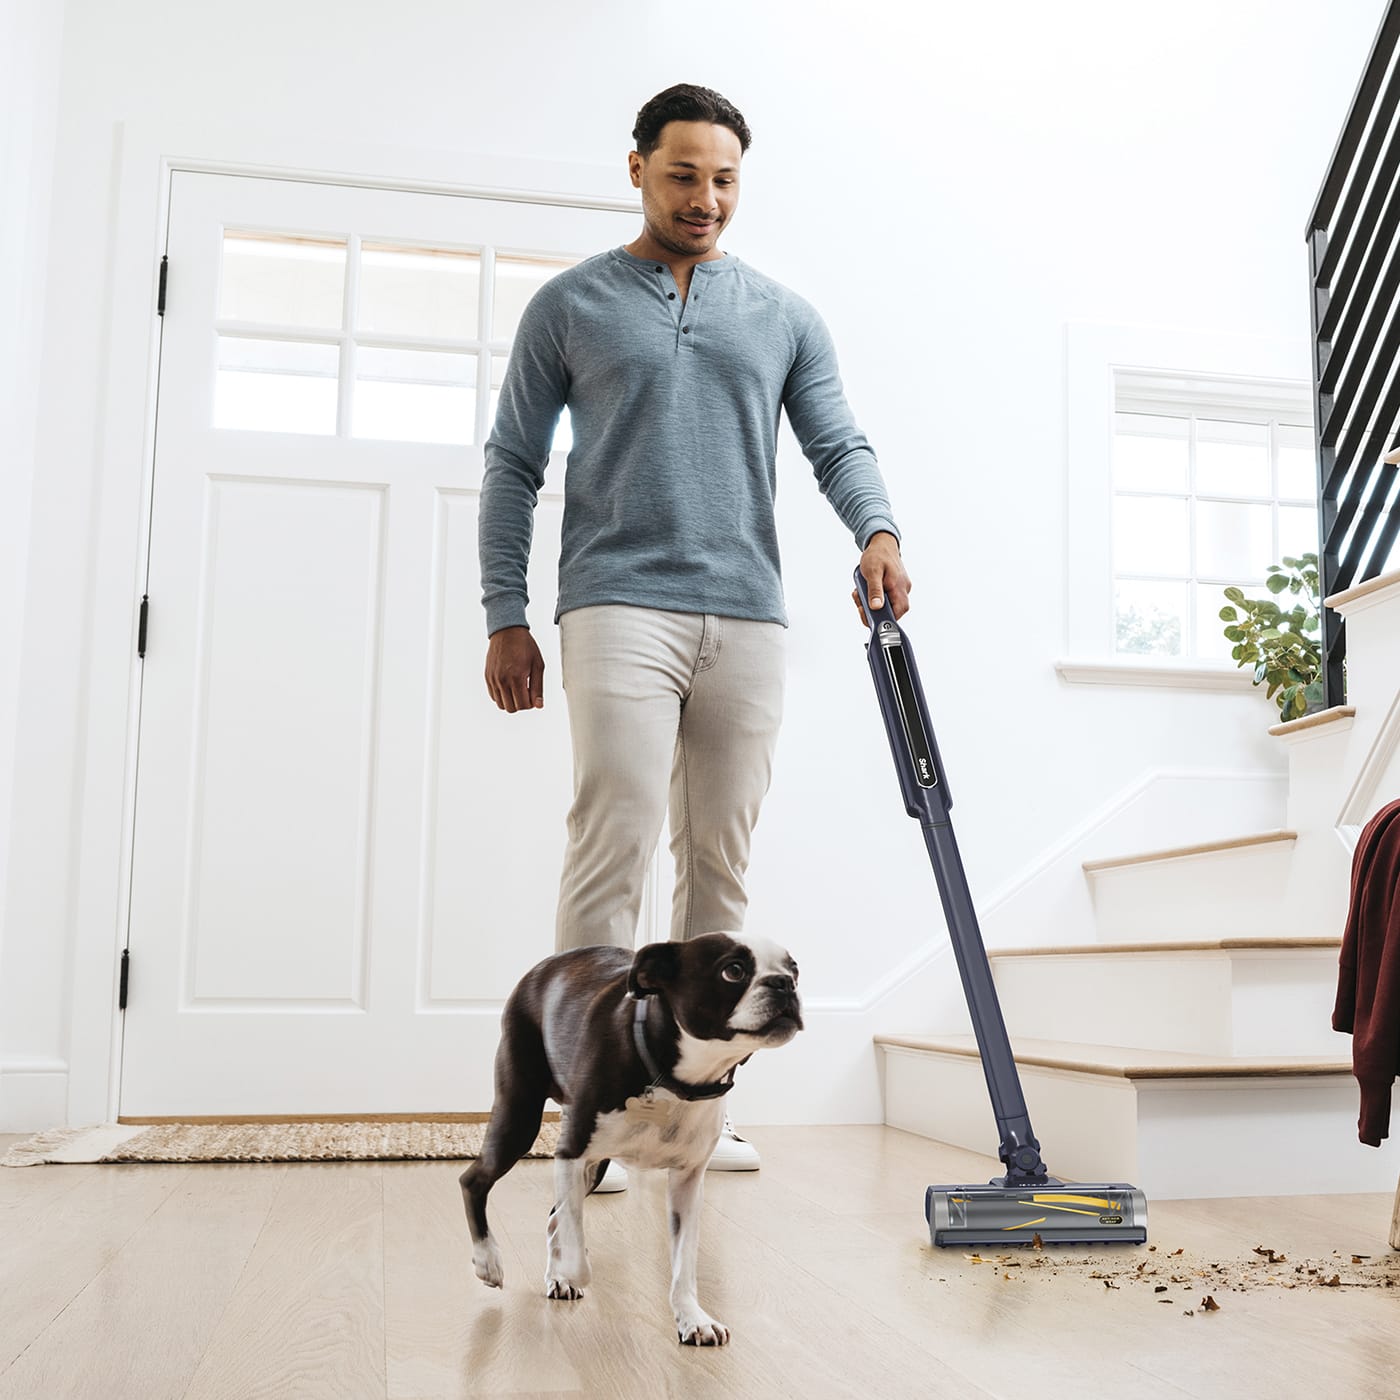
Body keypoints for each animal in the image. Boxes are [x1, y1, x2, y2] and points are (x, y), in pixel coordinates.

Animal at [464, 929, 806, 1344]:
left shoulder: (687, 1183)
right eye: (734, 970)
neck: (677, 1080)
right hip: (520, 1119)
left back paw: (554, 1275)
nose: (784, 984)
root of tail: (543, 967)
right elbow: (577, 1247)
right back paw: (489, 1261)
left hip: (593, 1166)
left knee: (554, 1215)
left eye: (795, 969)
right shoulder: (570, 1153)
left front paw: (693, 1318)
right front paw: (573, 1269)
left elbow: (684, 1262)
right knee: (476, 1181)